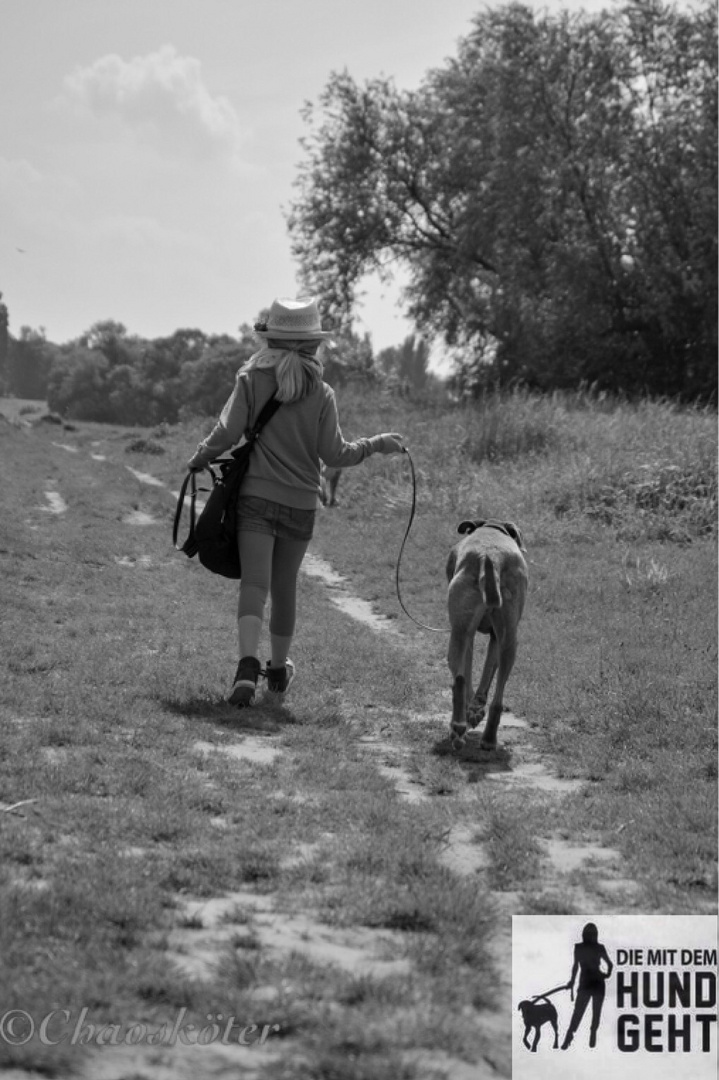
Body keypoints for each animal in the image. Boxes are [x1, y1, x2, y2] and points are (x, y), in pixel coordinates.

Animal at [442, 518, 526, 747]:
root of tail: (491, 558)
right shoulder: (497, 638)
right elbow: (488, 672)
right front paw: (475, 709)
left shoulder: (470, 636)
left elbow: (470, 671)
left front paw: (472, 711)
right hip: (509, 639)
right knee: (497, 698)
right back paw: (488, 739)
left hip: (459, 633)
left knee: (459, 680)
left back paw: (458, 727)